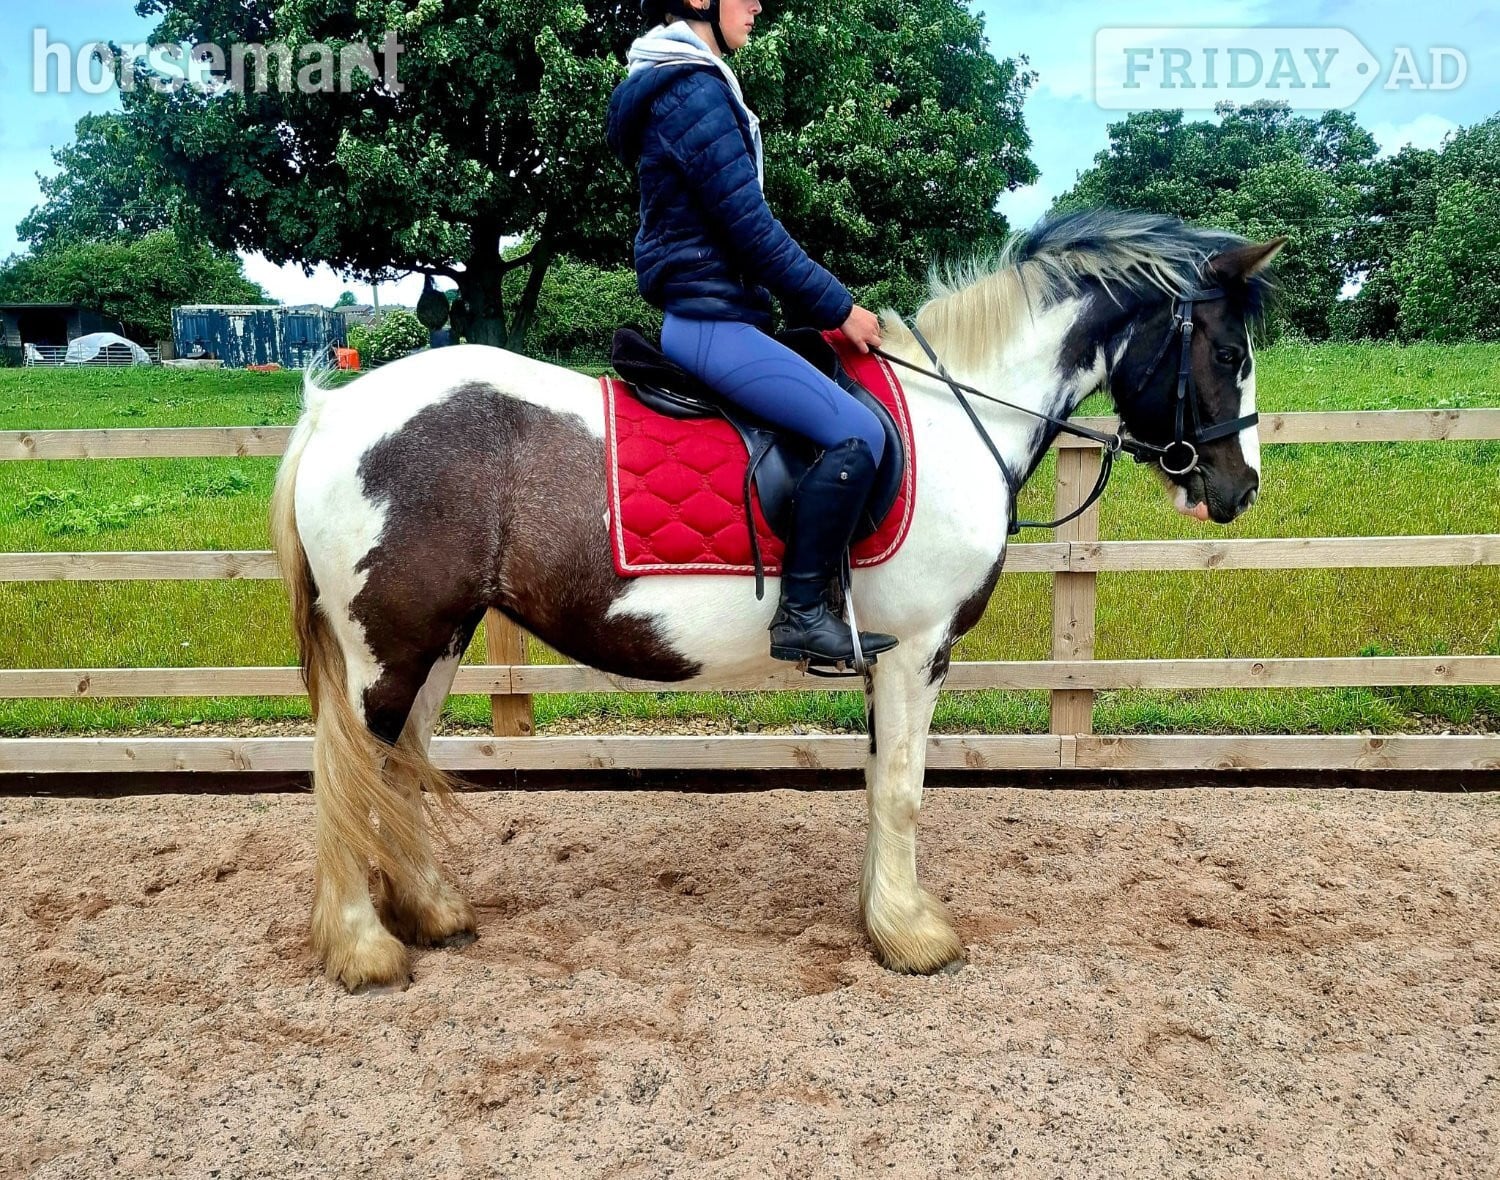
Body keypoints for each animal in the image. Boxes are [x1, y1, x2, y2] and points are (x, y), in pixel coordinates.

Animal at [270, 209, 1282, 991]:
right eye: (1229, 350)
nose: (1238, 490)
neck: (959, 415)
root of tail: (335, 412)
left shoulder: (886, 659)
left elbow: (878, 783)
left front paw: (880, 917)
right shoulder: (919, 652)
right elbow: (906, 790)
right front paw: (915, 938)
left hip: (433, 641)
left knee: (397, 764)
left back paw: (430, 912)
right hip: (387, 647)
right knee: (347, 773)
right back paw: (364, 948)